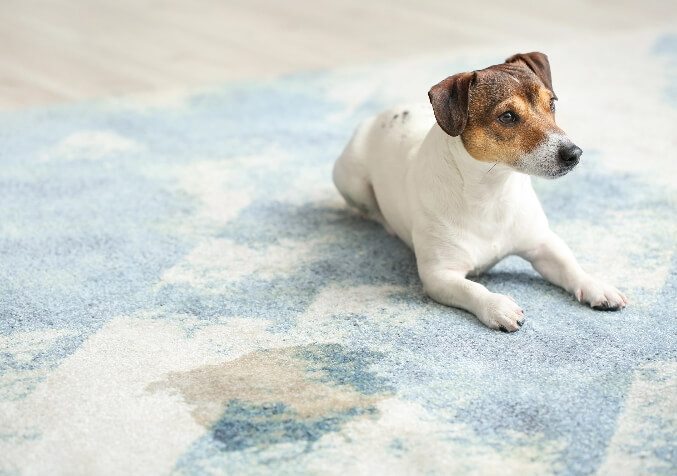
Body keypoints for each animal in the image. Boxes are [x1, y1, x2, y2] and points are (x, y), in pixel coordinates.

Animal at [332, 50, 628, 330]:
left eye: (551, 103)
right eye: (507, 116)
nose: (574, 154)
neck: (492, 193)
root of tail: (380, 115)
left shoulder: (542, 244)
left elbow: (570, 266)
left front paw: (595, 286)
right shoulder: (439, 275)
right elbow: (472, 288)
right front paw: (498, 306)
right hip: (351, 182)